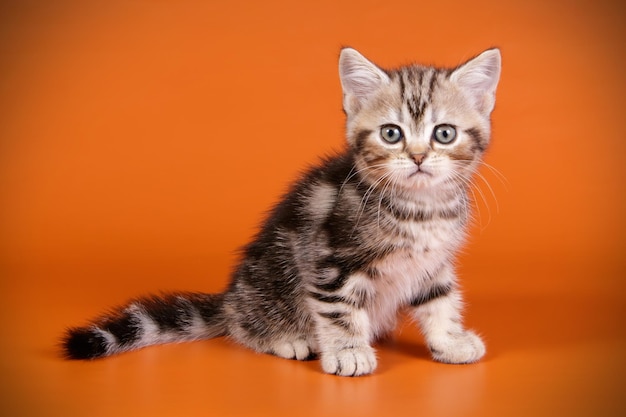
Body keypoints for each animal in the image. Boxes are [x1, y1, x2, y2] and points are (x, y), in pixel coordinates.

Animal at [63, 47, 500, 376]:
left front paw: (449, 340)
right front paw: (348, 351)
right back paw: (287, 339)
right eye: (391, 133)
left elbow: (440, 300)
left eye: (444, 133)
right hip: (270, 283)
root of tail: (231, 299)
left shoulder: (433, 263)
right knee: (244, 330)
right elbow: (339, 309)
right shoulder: (331, 260)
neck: (421, 208)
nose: (419, 156)